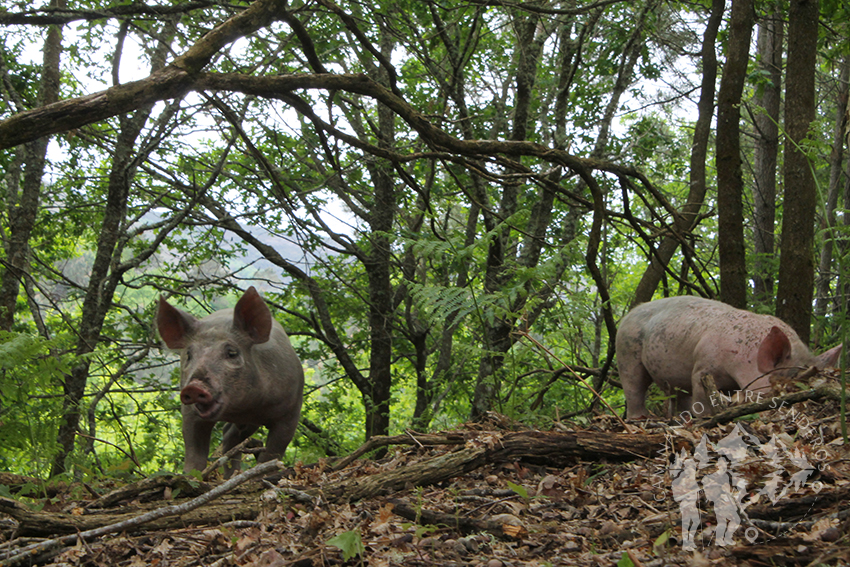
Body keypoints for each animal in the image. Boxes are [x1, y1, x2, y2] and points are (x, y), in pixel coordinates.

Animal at [157, 286, 304, 478]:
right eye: (189, 355)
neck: (241, 408)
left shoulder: (291, 411)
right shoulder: (190, 413)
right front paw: (189, 477)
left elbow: (273, 451)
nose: (195, 386)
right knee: (229, 436)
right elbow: (194, 450)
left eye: (232, 353)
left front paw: (262, 475)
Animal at [616, 300, 840, 420]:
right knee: (634, 386)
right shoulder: (703, 367)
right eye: (788, 383)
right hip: (626, 351)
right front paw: (705, 416)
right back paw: (641, 418)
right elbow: (703, 396)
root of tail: (629, 313)